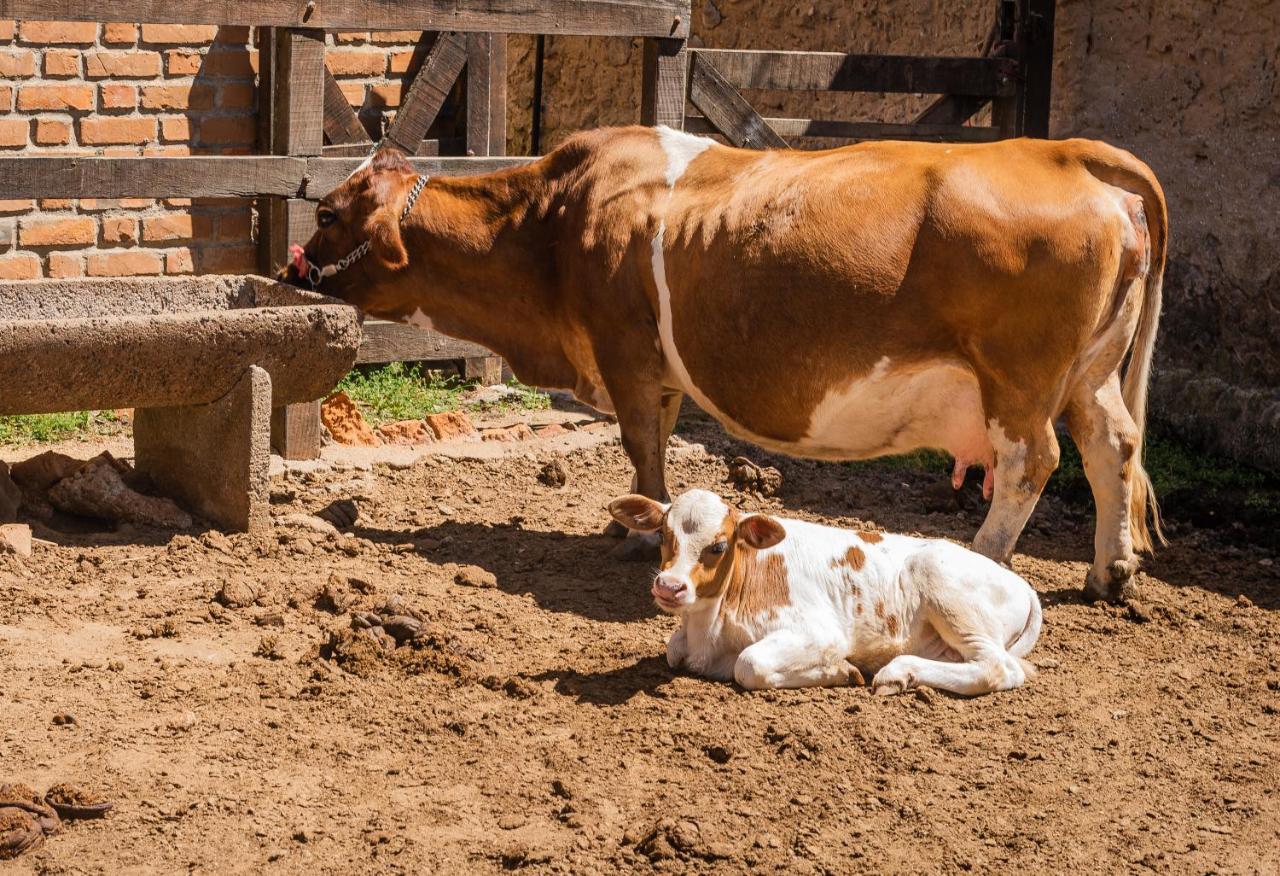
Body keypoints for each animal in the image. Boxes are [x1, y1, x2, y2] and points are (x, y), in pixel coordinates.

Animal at [288, 126, 1172, 599]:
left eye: (327, 213)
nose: (293, 267)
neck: (549, 225)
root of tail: (1062, 152)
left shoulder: (626, 353)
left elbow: (644, 447)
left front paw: (637, 534)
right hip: (1089, 373)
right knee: (1113, 446)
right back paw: (1110, 573)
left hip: (1017, 380)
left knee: (1032, 463)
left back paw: (985, 563)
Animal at [609, 486, 1039, 696]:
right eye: (662, 535)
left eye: (718, 546)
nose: (669, 586)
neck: (709, 632)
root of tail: (1023, 584)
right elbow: (672, 649)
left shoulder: (822, 633)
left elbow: (749, 664)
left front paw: (841, 671)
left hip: (947, 590)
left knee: (998, 667)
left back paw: (896, 673)